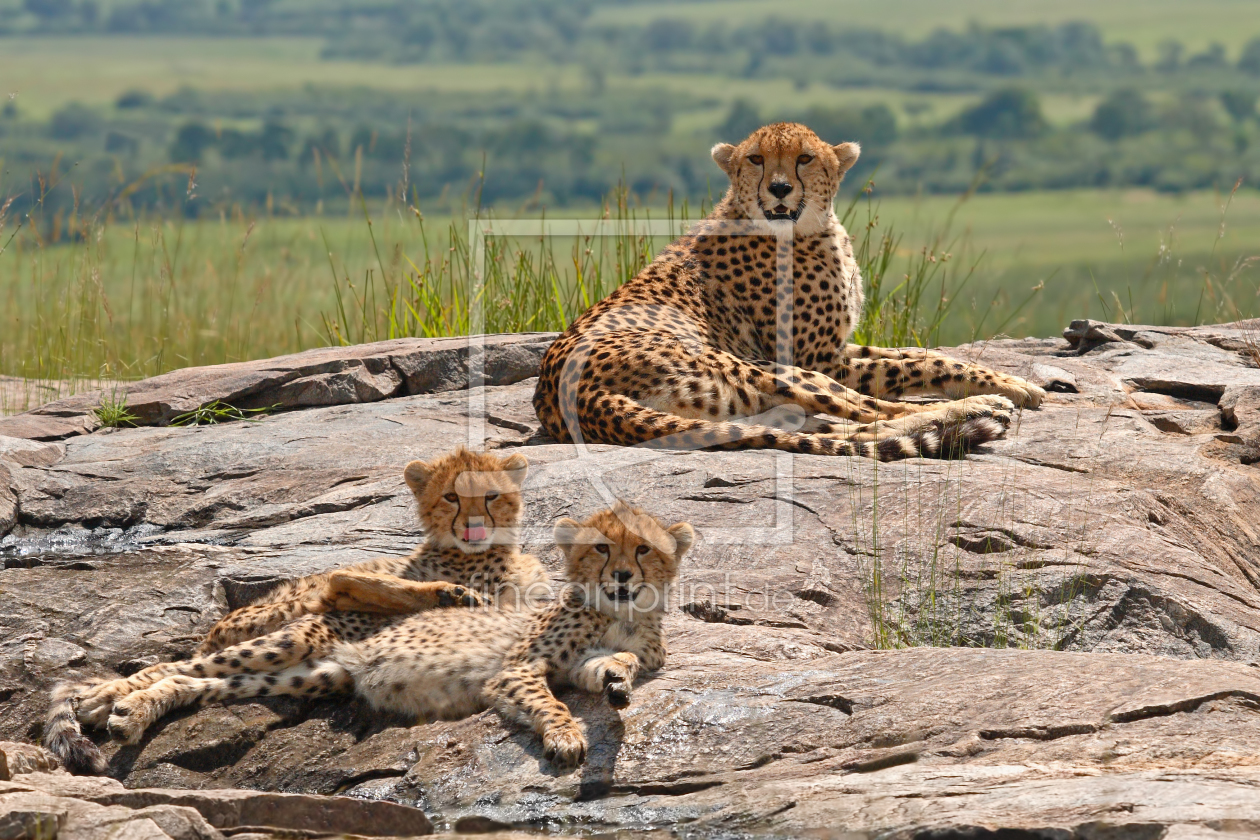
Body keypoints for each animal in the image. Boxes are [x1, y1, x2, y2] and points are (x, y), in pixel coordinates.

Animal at [531, 123, 1043, 460]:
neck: (809, 229)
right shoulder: (819, 359)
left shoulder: (838, 348)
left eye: (804, 158)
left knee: (843, 430)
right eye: (756, 159)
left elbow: (922, 355)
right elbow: (920, 365)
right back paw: (977, 410)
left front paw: (1014, 379)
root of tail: (564, 394)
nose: (778, 189)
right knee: (872, 414)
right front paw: (1011, 388)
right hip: (768, 368)